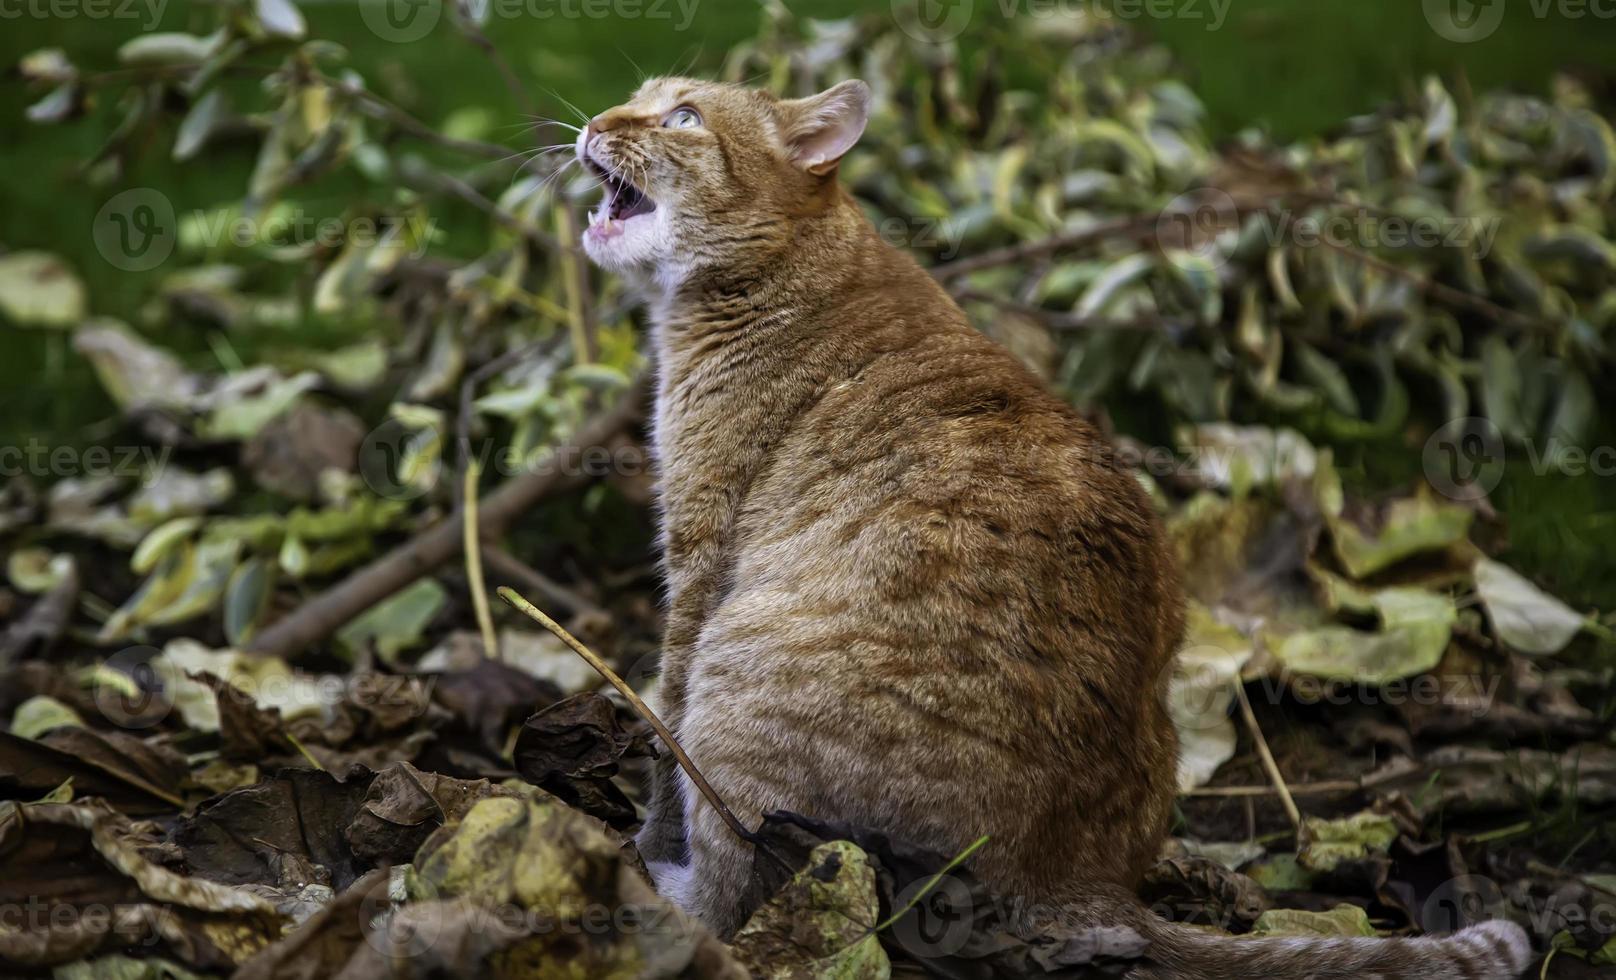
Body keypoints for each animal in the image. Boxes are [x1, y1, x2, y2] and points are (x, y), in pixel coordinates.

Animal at [575, 78, 1531, 980]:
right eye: (640, 96)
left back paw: (665, 896)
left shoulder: (699, 561)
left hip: (742, 677)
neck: (786, 267)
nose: (593, 122)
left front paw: (648, 842)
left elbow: (662, 731)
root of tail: (1075, 877)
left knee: (737, 885)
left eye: (684, 116)